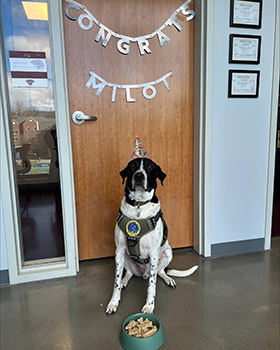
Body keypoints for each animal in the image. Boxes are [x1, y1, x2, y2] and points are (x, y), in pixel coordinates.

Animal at [105, 157, 199, 316]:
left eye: (149, 167)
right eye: (132, 165)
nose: (139, 176)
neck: (138, 204)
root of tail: (143, 273)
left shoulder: (154, 253)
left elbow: (152, 285)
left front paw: (149, 306)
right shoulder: (119, 250)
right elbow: (115, 282)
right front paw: (113, 303)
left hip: (168, 252)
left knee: (159, 272)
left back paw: (168, 279)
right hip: (124, 258)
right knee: (129, 272)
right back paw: (125, 280)